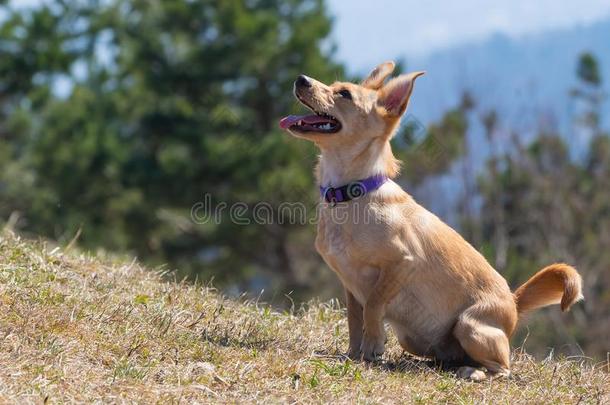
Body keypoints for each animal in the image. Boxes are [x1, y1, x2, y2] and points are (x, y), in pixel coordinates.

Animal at [278, 60, 580, 378]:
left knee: (502, 367)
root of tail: (514, 302)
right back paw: (438, 363)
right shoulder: (349, 282)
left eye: (344, 94)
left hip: (470, 326)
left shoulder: (403, 262)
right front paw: (351, 354)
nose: (301, 79)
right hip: (414, 339)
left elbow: (373, 305)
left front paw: (371, 351)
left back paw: (473, 372)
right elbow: (354, 319)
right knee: (451, 357)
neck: (351, 194)